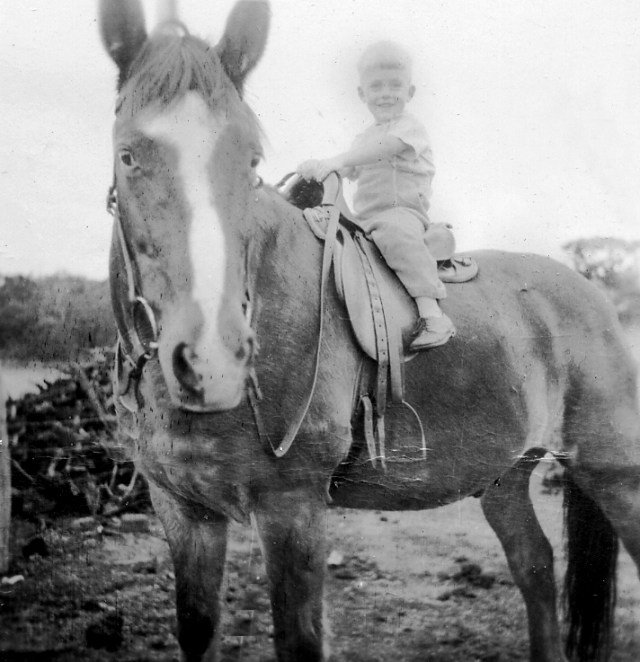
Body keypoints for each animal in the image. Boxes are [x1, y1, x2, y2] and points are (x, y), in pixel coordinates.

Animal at [98, 1, 640, 660]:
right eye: (129, 154)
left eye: (250, 162)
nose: (212, 362)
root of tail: (591, 292)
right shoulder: (182, 509)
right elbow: (198, 628)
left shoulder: (293, 508)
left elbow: (299, 640)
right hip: (505, 474)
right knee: (534, 564)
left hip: (614, 468)